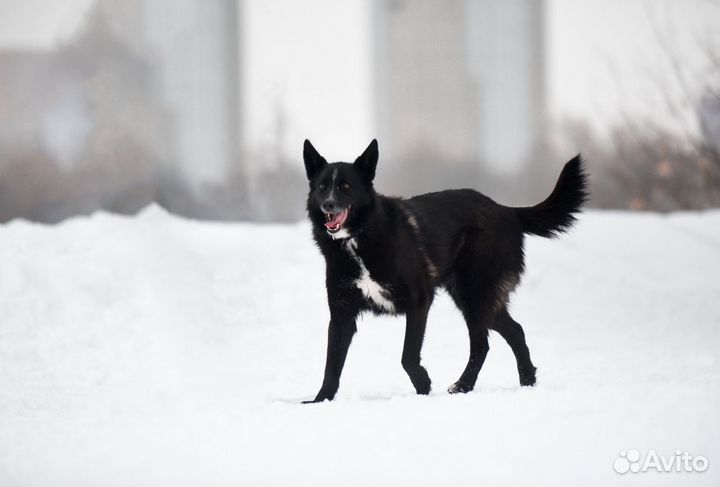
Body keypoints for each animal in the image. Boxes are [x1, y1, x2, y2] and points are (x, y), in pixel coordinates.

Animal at [300, 139, 588, 402]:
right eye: (322, 187)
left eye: (346, 186)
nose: (328, 205)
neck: (359, 238)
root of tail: (506, 210)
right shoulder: (341, 314)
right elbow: (332, 364)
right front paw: (320, 400)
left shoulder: (419, 301)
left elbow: (408, 357)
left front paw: (423, 387)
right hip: (478, 300)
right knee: (515, 331)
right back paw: (527, 381)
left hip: (474, 296)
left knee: (481, 345)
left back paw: (463, 386)